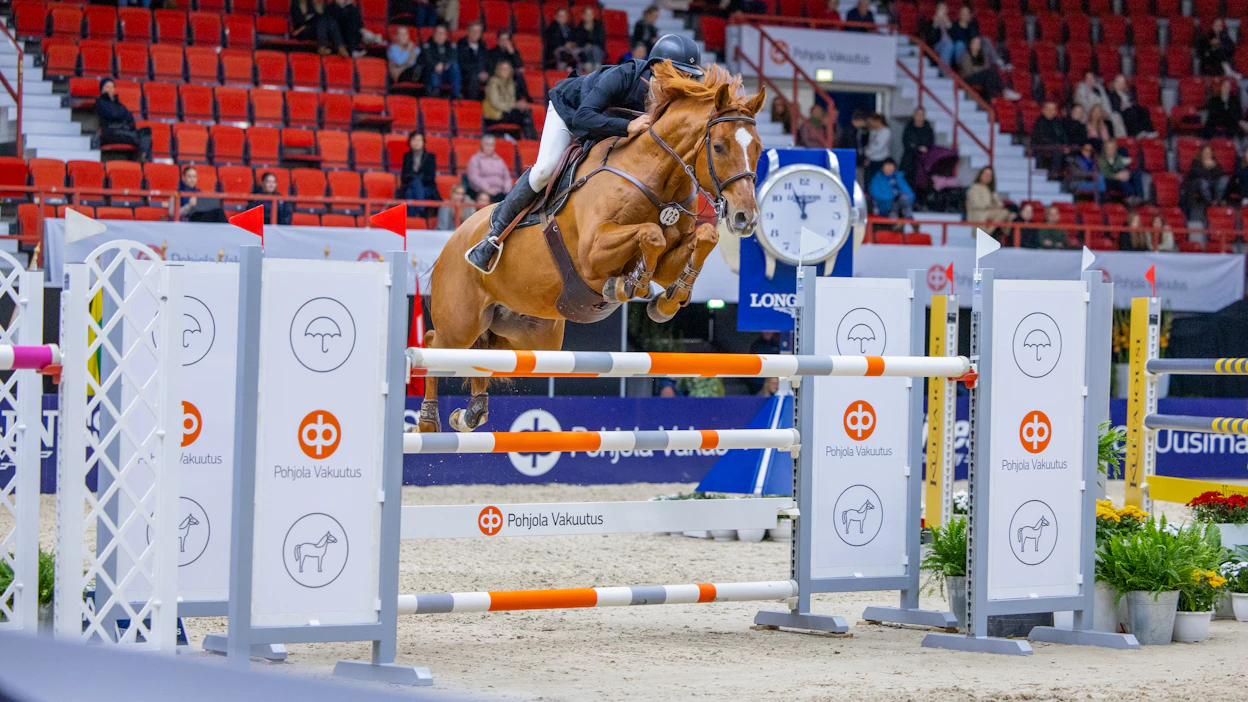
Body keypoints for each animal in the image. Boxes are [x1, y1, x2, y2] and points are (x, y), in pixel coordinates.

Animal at [418, 62, 766, 434]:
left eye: (759, 149)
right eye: (719, 147)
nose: (745, 218)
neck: (656, 174)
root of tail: (452, 243)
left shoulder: (669, 257)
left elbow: (704, 238)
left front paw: (668, 300)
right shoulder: (591, 255)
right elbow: (650, 235)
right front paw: (631, 284)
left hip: (529, 335)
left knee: (484, 353)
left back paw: (471, 413)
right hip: (462, 321)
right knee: (434, 341)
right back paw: (427, 419)